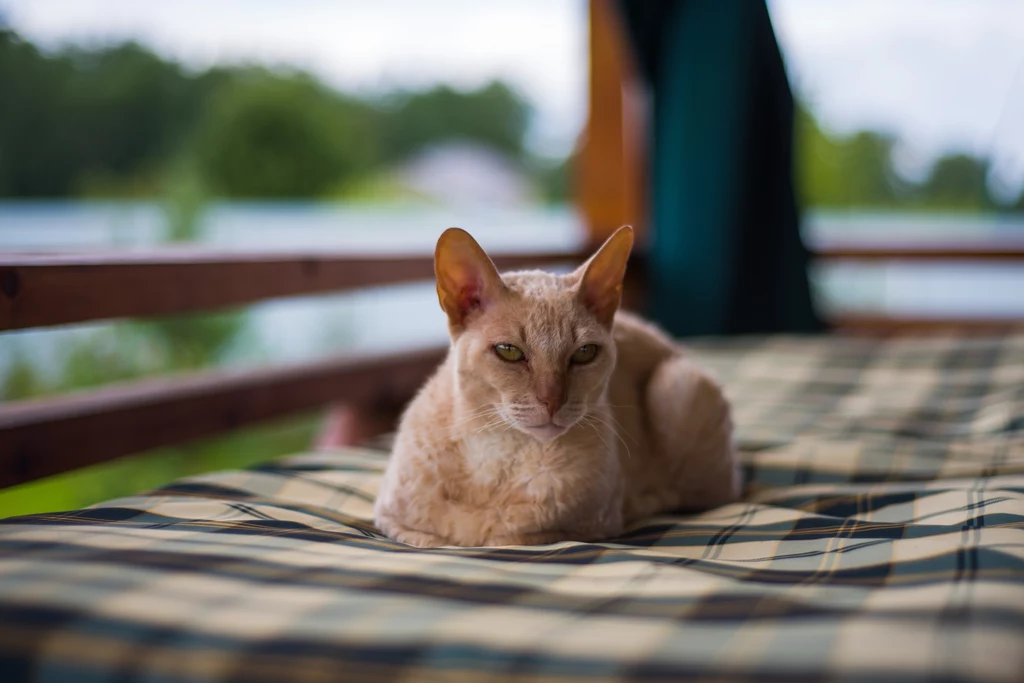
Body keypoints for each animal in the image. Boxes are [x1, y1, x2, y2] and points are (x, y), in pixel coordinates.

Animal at [372, 227, 741, 548]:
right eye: (509, 352)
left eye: (584, 353)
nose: (552, 400)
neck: (498, 455)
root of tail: (668, 340)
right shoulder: (392, 524)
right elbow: (438, 539)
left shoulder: (588, 527)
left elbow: (503, 537)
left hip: (676, 387)